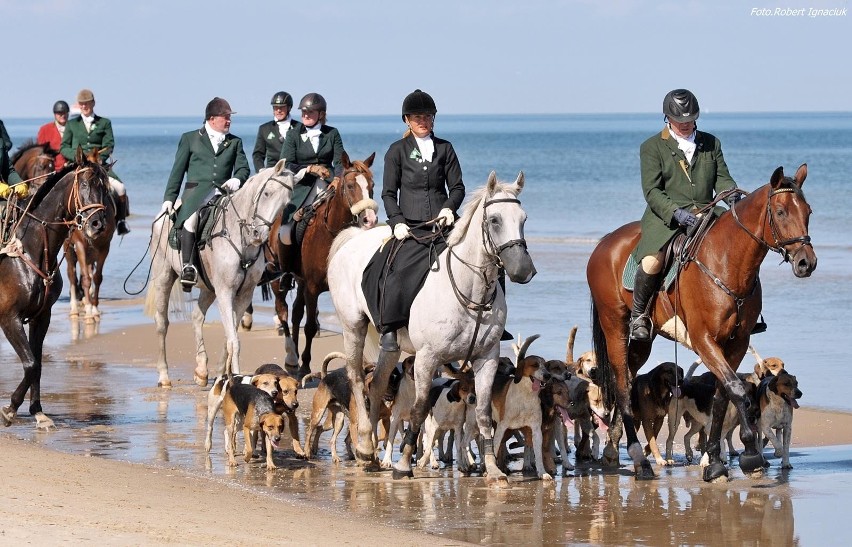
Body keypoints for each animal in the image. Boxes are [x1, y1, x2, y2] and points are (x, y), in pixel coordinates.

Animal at [0, 148, 110, 430]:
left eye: (105, 188)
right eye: (84, 184)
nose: (98, 225)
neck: (31, 249)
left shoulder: (41, 317)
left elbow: (37, 364)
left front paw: (37, 412)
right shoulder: (9, 318)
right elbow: (29, 364)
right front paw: (10, 410)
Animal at [145, 161, 294, 388]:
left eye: (286, 203)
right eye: (267, 193)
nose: (258, 235)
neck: (241, 239)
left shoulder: (243, 295)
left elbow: (230, 336)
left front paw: (223, 373)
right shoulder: (225, 292)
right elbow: (234, 340)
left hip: (209, 288)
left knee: (197, 317)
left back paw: (201, 370)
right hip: (164, 276)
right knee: (162, 323)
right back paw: (164, 376)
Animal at [264, 152, 374, 378]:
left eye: (372, 185)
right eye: (351, 185)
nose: (370, 219)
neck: (330, 233)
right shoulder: (313, 288)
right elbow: (310, 327)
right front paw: (305, 365)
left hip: (301, 282)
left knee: (296, 313)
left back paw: (294, 356)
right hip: (278, 279)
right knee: (283, 311)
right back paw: (291, 357)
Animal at [328, 171, 536, 484]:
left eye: (523, 218)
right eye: (495, 219)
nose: (523, 270)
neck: (469, 290)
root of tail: (354, 240)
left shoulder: (486, 358)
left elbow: (484, 414)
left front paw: (493, 469)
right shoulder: (427, 358)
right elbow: (419, 409)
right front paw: (404, 464)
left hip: (390, 345)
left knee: (376, 385)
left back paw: (372, 456)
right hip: (353, 326)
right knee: (356, 377)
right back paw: (364, 445)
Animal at [584, 165, 820, 482]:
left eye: (808, 211)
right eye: (781, 212)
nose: (807, 263)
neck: (728, 261)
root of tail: (606, 242)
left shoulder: (736, 342)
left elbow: (722, 396)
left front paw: (716, 462)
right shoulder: (704, 339)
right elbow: (737, 390)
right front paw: (750, 454)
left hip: (643, 340)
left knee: (630, 378)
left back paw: (612, 450)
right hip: (615, 327)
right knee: (621, 386)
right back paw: (640, 461)